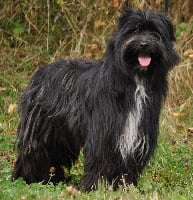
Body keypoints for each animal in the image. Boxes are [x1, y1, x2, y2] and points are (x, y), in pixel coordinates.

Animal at [11, 6, 178, 191]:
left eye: (155, 33)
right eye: (134, 30)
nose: (144, 44)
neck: (135, 79)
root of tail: (40, 72)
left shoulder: (136, 133)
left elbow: (127, 165)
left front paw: (126, 187)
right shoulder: (104, 132)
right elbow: (99, 160)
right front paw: (93, 187)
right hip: (41, 129)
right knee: (34, 153)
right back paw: (28, 179)